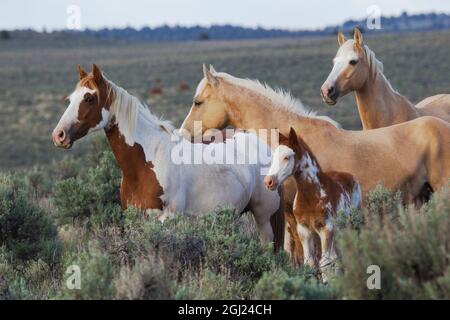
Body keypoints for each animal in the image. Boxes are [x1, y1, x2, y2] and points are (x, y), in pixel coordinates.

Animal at [52, 64, 284, 250]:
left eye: (89, 98)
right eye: (70, 99)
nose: (59, 135)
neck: (147, 162)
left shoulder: (167, 219)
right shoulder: (137, 220)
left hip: (263, 218)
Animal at [266, 127, 360, 280]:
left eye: (287, 157)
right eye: (273, 157)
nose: (268, 182)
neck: (311, 198)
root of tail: (350, 176)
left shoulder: (326, 229)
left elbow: (325, 263)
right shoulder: (304, 231)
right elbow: (309, 263)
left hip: (352, 225)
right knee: (337, 257)